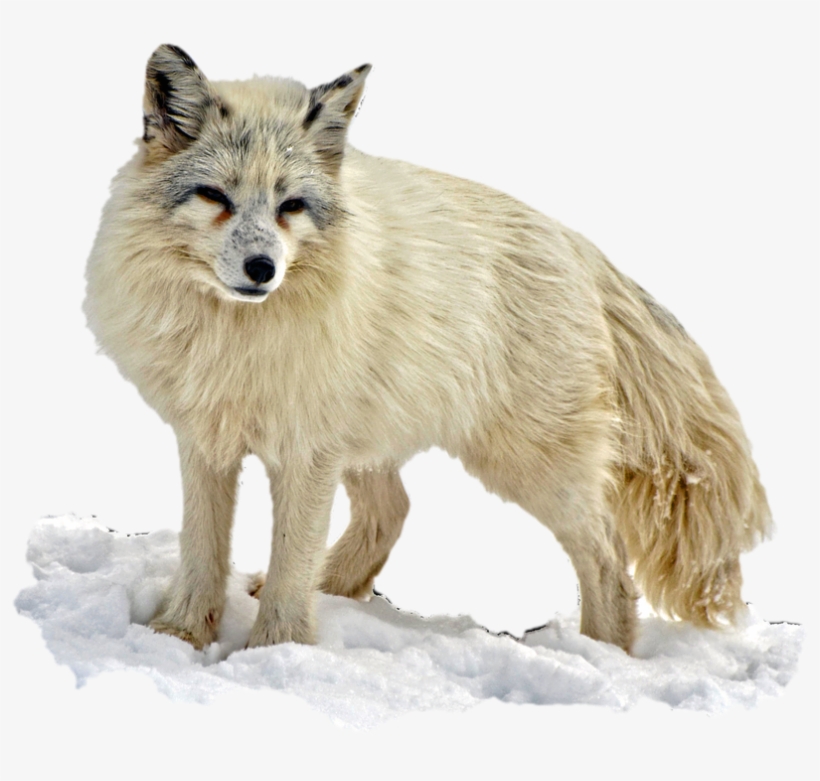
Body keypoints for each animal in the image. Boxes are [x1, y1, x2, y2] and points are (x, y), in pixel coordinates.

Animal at [84, 44, 772, 654]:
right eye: (215, 197)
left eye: (291, 206)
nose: (262, 270)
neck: (235, 336)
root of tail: (577, 245)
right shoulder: (208, 438)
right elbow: (203, 549)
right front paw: (179, 636)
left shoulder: (306, 451)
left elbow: (291, 563)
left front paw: (274, 652)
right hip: (377, 445)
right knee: (394, 512)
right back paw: (335, 590)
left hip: (528, 465)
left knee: (608, 560)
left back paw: (602, 656)